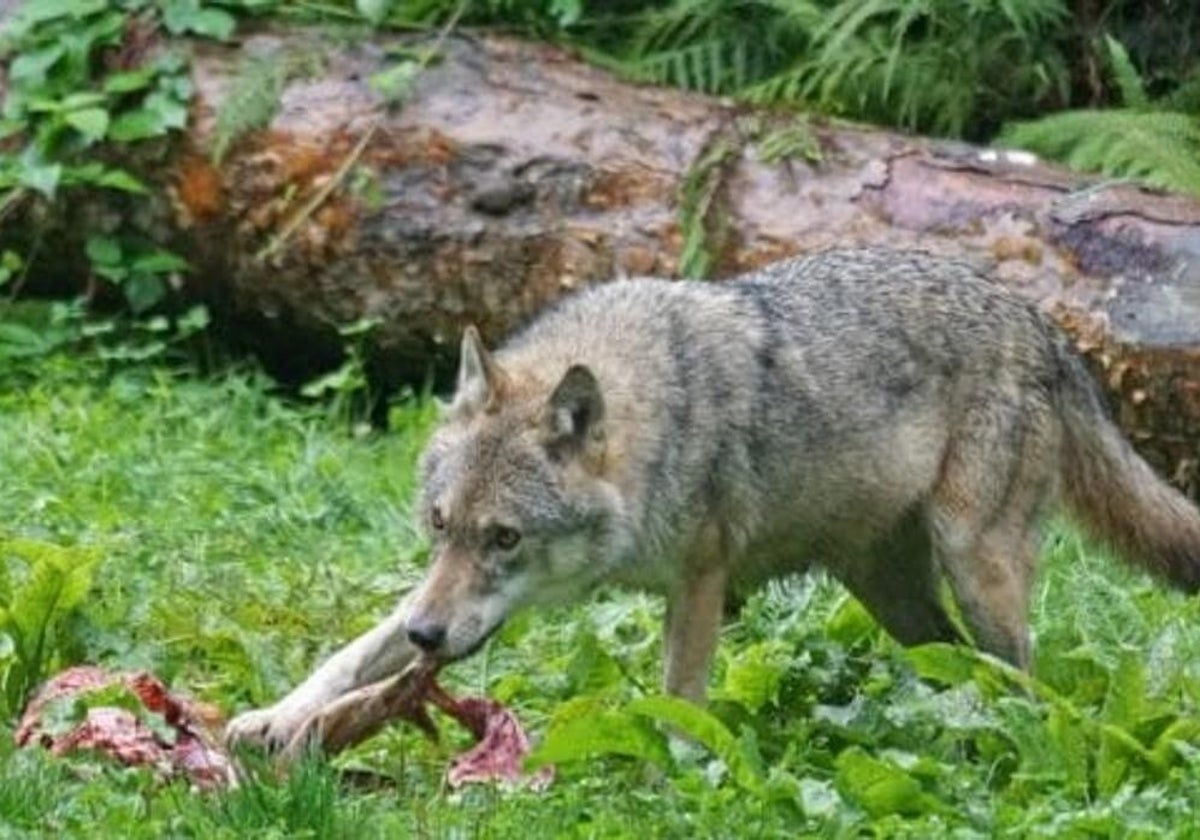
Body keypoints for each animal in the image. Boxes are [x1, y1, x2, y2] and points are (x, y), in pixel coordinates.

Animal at [225, 247, 1200, 748]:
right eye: (441, 525)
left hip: (975, 564)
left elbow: (680, 698)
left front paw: (683, 780)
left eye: (504, 539)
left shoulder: (700, 582)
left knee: (1025, 682)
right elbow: (350, 655)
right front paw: (273, 719)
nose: (431, 637)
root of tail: (1042, 322)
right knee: (958, 665)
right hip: (893, 596)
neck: (655, 411)